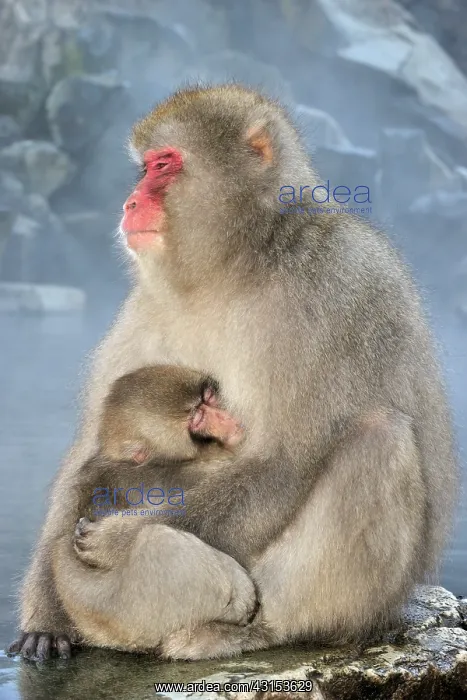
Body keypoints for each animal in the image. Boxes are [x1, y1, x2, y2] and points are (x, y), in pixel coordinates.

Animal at [9, 84, 457, 662]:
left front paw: (116, 541)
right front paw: (46, 618)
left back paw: (258, 631)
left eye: (164, 164)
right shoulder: (143, 310)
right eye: (146, 168)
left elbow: (282, 461)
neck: (236, 264)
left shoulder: (333, 282)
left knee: (378, 436)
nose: (130, 202)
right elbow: (89, 455)